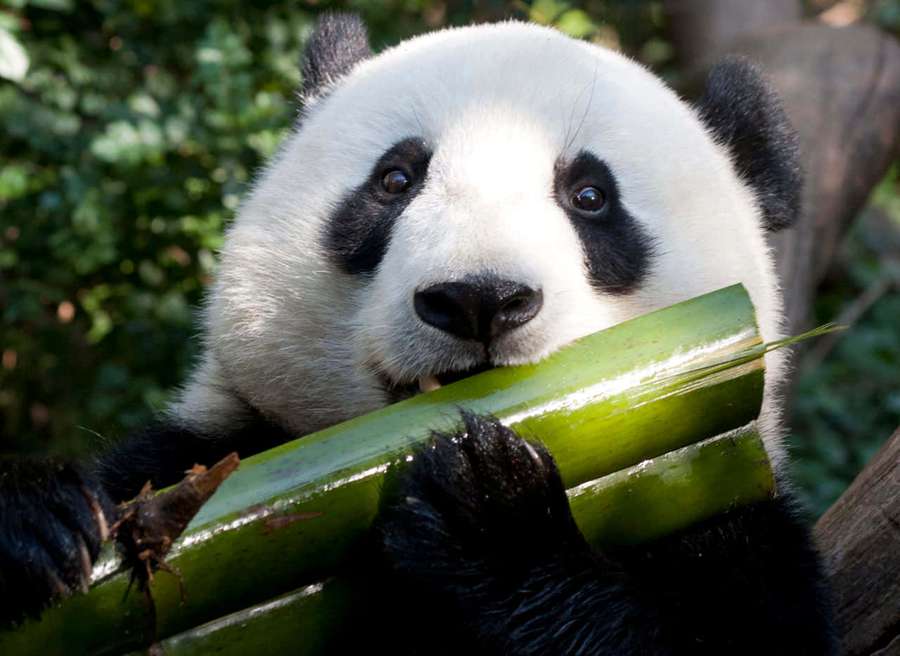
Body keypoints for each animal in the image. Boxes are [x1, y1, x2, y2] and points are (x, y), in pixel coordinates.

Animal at [0, 13, 835, 654]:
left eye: (591, 196)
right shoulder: (213, 450)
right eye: (395, 181)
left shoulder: (717, 500)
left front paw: (489, 513)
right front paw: (40, 525)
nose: (479, 299)